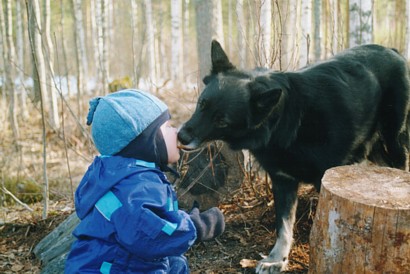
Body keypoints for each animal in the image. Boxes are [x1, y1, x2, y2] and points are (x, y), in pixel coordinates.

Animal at [179, 40, 410, 272]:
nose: (181, 137)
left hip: (393, 138)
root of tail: (392, 51)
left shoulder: (322, 180)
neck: (284, 120)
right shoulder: (283, 181)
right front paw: (276, 259)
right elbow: (283, 226)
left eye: (222, 121)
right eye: (201, 104)